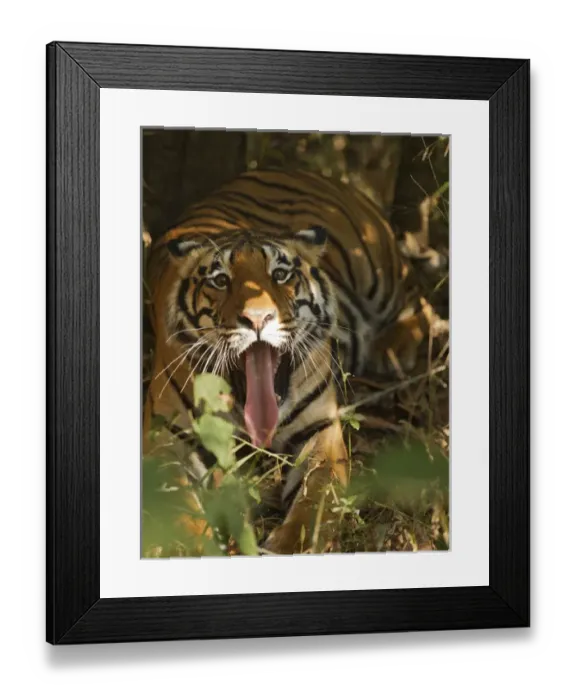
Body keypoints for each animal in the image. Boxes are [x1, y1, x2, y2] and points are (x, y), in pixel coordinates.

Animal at [143, 168, 434, 555]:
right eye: (220, 280)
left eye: (280, 274)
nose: (257, 318)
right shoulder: (164, 439)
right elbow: (175, 510)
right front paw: (193, 548)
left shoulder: (321, 431)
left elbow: (315, 499)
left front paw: (292, 546)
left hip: (376, 268)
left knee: (419, 295)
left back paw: (393, 348)